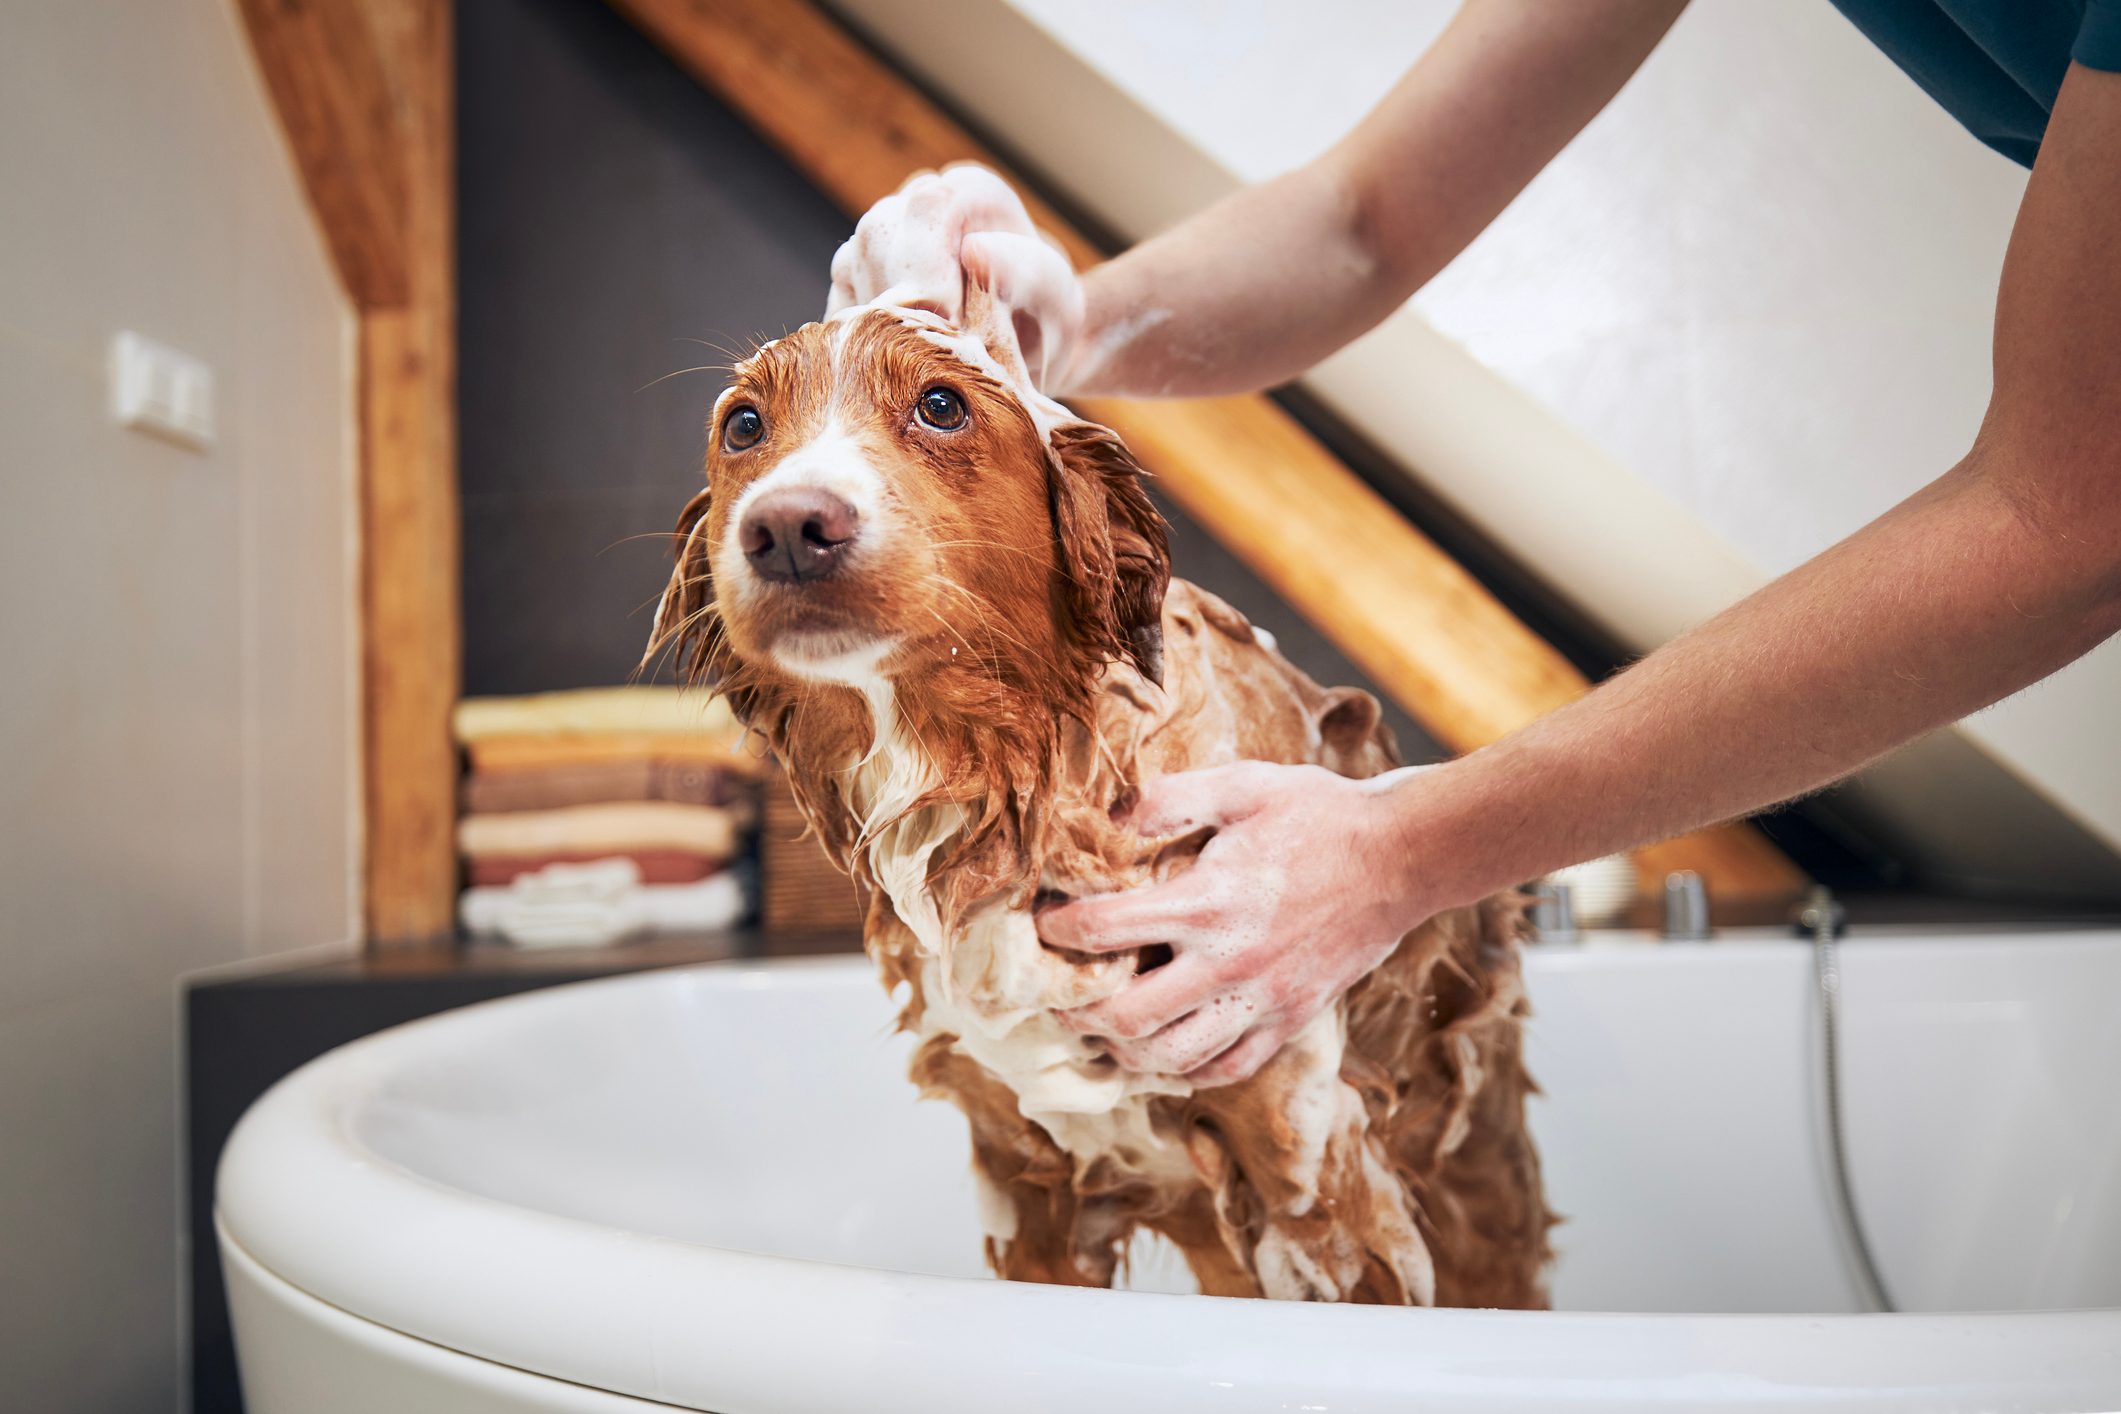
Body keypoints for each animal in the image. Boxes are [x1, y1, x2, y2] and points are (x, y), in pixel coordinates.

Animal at [636, 296, 1552, 1305]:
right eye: (742, 427)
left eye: (941, 405)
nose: (788, 526)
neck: (1007, 791)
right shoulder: (1027, 1183)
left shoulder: (1312, 1172)